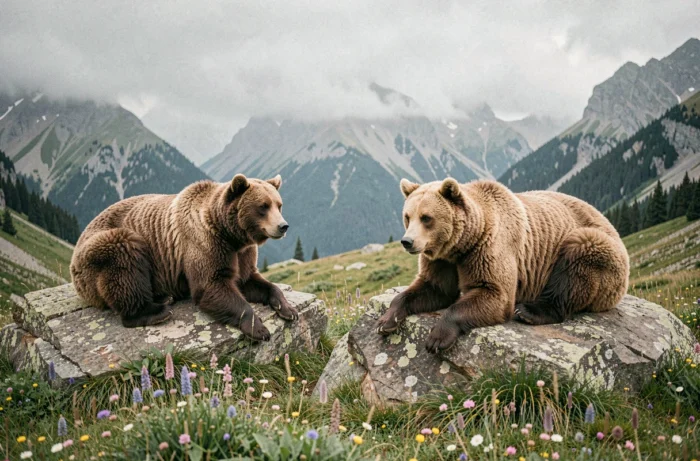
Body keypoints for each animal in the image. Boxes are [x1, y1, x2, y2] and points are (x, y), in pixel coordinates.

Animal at [70, 174, 298, 341]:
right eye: (263, 206)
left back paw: (164, 297)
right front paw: (258, 328)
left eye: (279, 205)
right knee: (124, 262)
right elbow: (211, 286)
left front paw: (288, 309)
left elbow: (251, 281)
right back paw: (156, 311)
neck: (230, 234)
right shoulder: (205, 244)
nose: (283, 226)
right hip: (103, 247)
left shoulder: (242, 253)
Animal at [376, 178, 630, 353]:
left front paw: (437, 338)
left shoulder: (490, 248)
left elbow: (495, 293)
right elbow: (432, 288)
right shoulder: (441, 260)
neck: (462, 244)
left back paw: (529, 311)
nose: (407, 241)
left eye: (426, 217)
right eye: (408, 216)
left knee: (576, 264)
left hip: (597, 249)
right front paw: (386, 321)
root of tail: (610, 223)